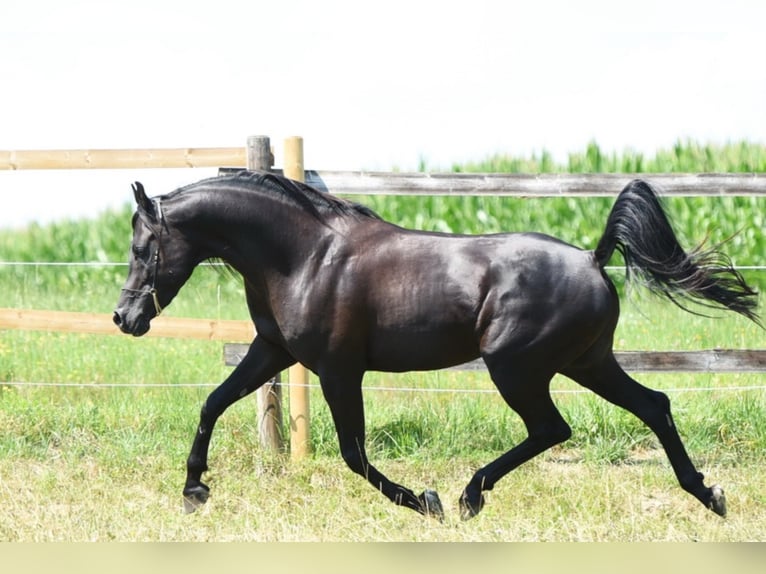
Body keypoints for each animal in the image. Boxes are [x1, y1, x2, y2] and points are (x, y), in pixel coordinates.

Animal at [113, 171, 761, 521]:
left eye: (144, 249)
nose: (125, 317)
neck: (305, 257)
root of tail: (594, 258)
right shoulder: (273, 351)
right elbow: (212, 403)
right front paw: (194, 490)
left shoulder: (337, 370)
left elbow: (353, 453)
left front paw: (425, 500)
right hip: (586, 362)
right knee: (653, 405)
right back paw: (709, 495)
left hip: (517, 368)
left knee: (554, 428)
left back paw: (469, 496)